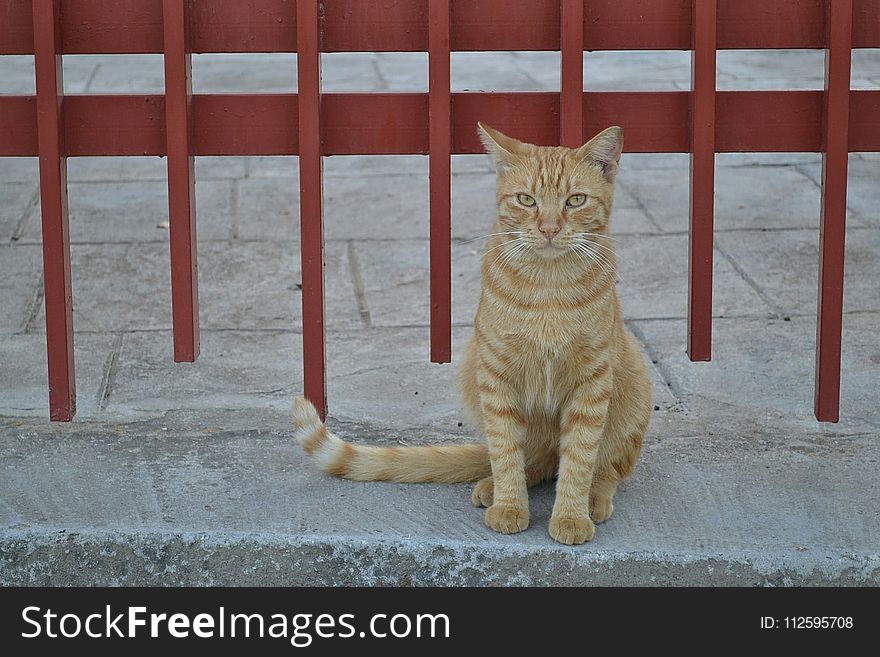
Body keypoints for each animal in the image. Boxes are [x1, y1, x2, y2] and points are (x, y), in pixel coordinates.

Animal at [294, 123, 652, 544]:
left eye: (575, 200)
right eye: (526, 200)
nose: (549, 229)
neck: (548, 287)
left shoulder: (592, 381)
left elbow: (579, 457)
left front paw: (570, 516)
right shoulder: (496, 377)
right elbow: (505, 451)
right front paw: (510, 506)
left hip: (632, 385)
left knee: (605, 466)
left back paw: (594, 497)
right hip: (472, 370)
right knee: (530, 461)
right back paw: (493, 487)